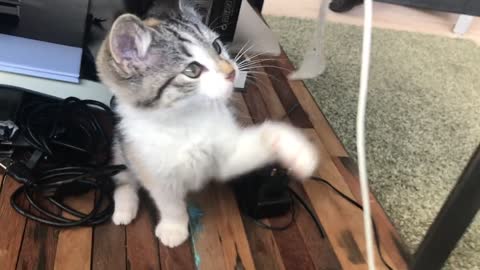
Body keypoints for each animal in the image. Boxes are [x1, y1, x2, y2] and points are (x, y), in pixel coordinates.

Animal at [96, 1, 318, 248]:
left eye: (217, 46)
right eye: (192, 70)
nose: (231, 72)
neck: (189, 118)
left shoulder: (225, 154)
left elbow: (261, 139)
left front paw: (297, 150)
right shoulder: (155, 170)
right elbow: (170, 203)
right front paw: (174, 228)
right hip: (121, 148)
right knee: (124, 179)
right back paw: (124, 209)